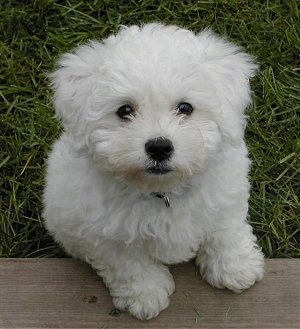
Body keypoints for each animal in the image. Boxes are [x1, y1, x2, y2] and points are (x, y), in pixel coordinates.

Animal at [43, 23, 264, 320]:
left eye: (185, 107)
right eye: (124, 110)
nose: (159, 147)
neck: (162, 190)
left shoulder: (225, 195)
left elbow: (225, 229)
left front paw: (236, 268)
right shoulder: (103, 234)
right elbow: (129, 264)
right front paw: (145, 296)